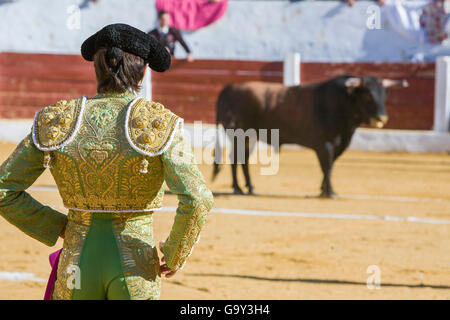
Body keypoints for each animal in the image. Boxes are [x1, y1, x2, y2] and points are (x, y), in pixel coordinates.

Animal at [212, 74, 408, 198]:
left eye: (384, 94)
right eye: (367, 95)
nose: (381, 118)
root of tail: (228, 87)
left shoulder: (338, 144)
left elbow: (329, 166)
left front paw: (323, 190)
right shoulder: (326, 145)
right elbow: (327, 166)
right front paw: (330, 192)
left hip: (249, 138)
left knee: (243, 159)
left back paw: (249, 188)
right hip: (238, 135)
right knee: (235, 158)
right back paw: (238, 188)